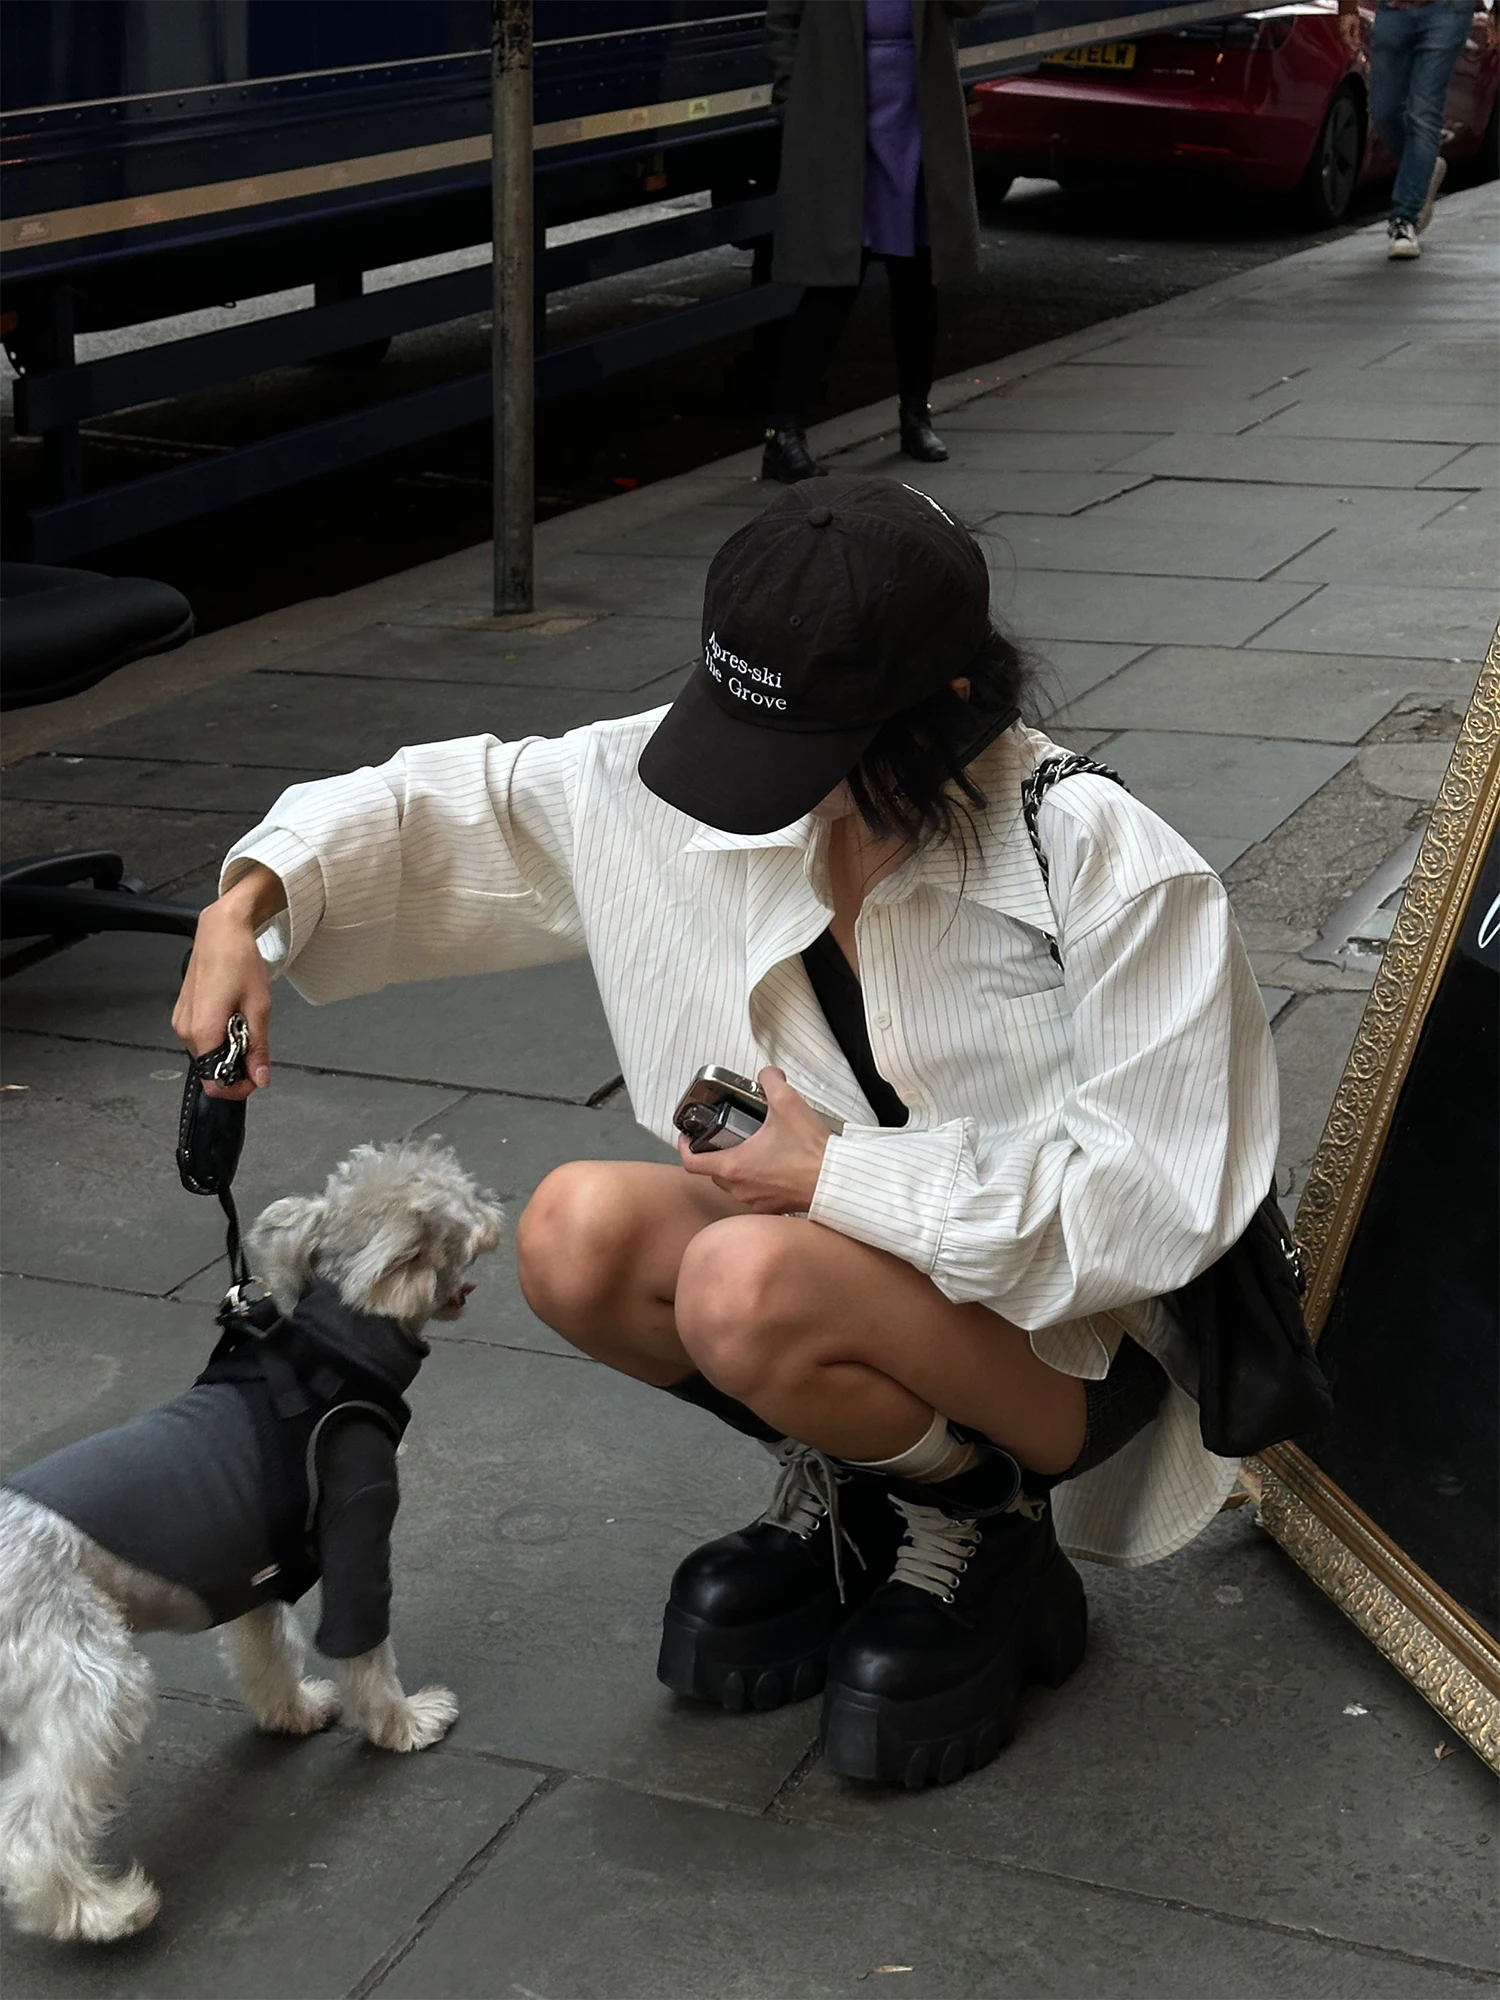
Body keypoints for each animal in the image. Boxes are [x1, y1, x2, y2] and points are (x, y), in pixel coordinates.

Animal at [0, 1152, 506, 1944]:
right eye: (457, 1205)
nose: (495, 1217)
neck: (332, 1354)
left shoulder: (252, 1574)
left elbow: (266, 1651)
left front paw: (290, 1712)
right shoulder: (359, 1527)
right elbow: (365, 1646)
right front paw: (402, 1724)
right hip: (90, 1681)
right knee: (31, 1828)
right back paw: (101, 1910)